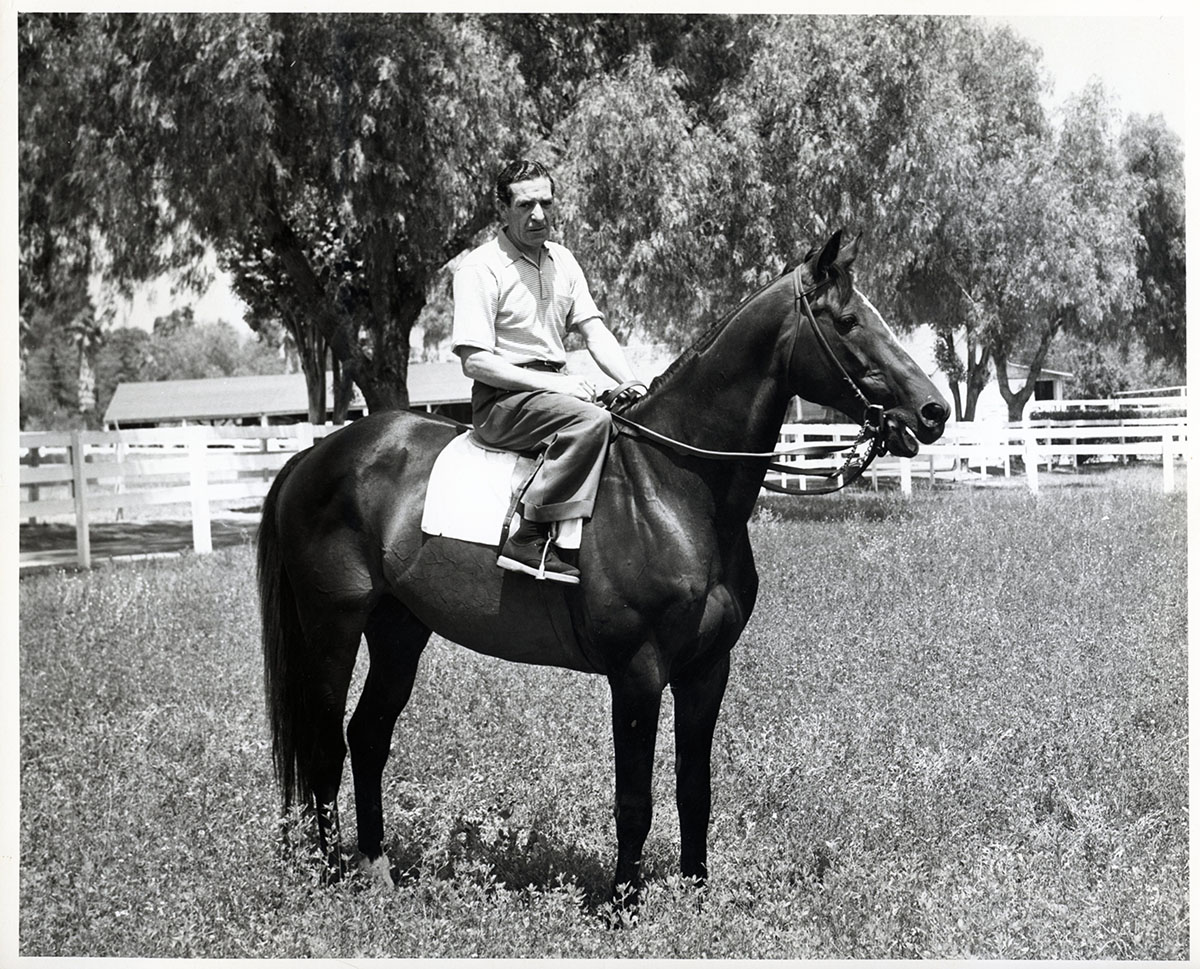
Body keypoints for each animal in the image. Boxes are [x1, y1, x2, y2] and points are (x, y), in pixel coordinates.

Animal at [257, 229, 949, 905]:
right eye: (850, 321)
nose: (934, 411)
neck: (669, 487)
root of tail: (316, 456)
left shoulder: (707, 669)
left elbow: (694, 788)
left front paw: (697, 895)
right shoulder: (637, 672)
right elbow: (634, 798)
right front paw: (624, 905)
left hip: (399, 628)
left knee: (368, 736)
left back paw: (376, 870)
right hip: (333, 626)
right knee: (325, 742)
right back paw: (331, 876)